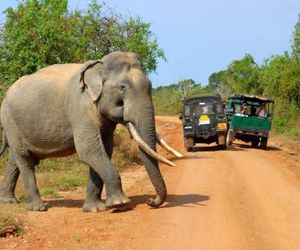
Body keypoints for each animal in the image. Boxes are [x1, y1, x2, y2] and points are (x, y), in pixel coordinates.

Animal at [0, 51, 183, 212]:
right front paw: (120, 203)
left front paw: (94, 209)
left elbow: (104, 150)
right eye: (122, 87)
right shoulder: (80, 109)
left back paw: (9, 201)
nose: (150, 201)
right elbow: (89, 151)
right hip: (9, 119)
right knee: (24, 159)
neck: (99, 66)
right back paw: (37, 208)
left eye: (151, 87)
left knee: (15, 159)